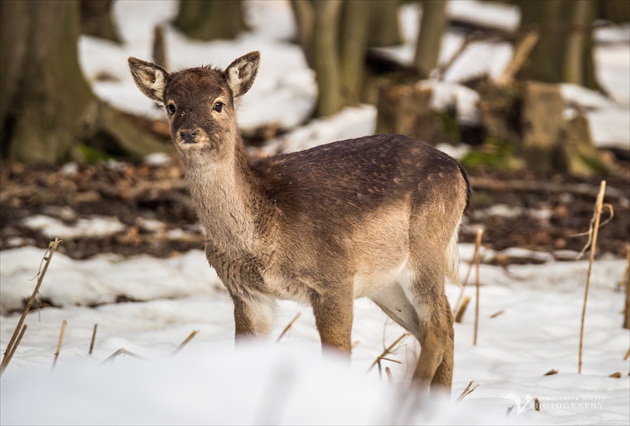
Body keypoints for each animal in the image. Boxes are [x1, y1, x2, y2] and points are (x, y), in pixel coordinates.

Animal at [131, 51, 472, 392]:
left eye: (218, 104)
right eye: (171, 105)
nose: (189, 132)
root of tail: (458, 169)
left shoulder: (334, 279)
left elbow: (338, 355)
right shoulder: (245, 292)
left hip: (426, 247)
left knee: (438, 327)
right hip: (385, 281)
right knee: (440, 324)